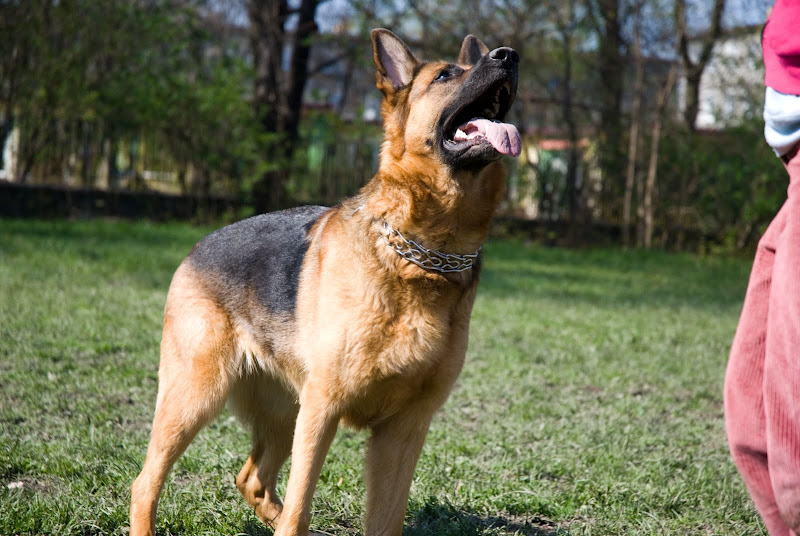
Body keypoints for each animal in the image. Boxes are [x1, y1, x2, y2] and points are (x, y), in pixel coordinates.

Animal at [130, 29, 520, 536]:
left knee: (252, 478)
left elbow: (385, 519)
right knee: (147, 481)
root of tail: (196, 248)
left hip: (284, 413)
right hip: (197, 397)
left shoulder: (403, 430)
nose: (509, 56)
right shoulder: (324, 409)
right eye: (446, 76)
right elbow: (299, 508)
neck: (424, 255)